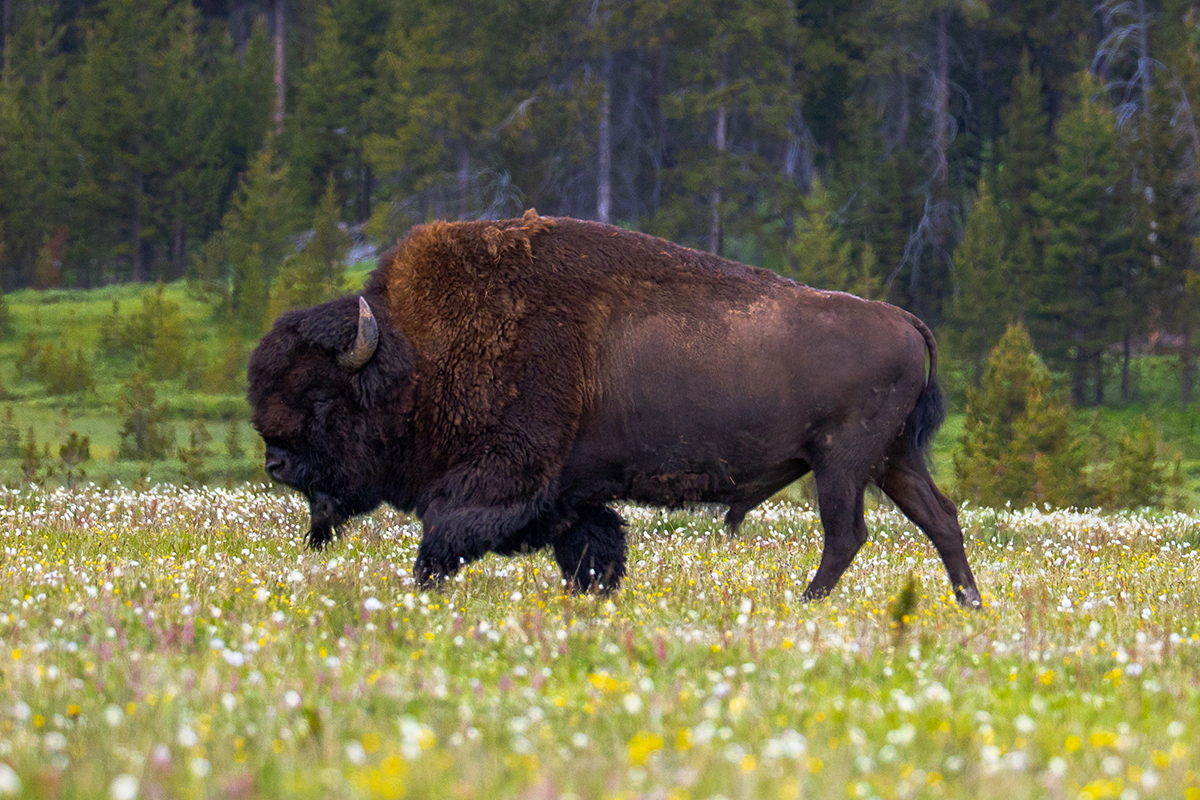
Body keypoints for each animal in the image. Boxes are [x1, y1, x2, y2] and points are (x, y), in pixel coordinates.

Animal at [248, 210, 982, 607]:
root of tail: (906, 320)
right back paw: (970, 608)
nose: (276, 462)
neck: (418, 353)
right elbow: (593, 547)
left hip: (843, 461)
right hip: (892, 459)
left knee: (846, 534)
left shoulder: (501, 476)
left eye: (322, 395)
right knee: (940, 518)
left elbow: (444, 539)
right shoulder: (570, 495)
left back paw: (806, 605)